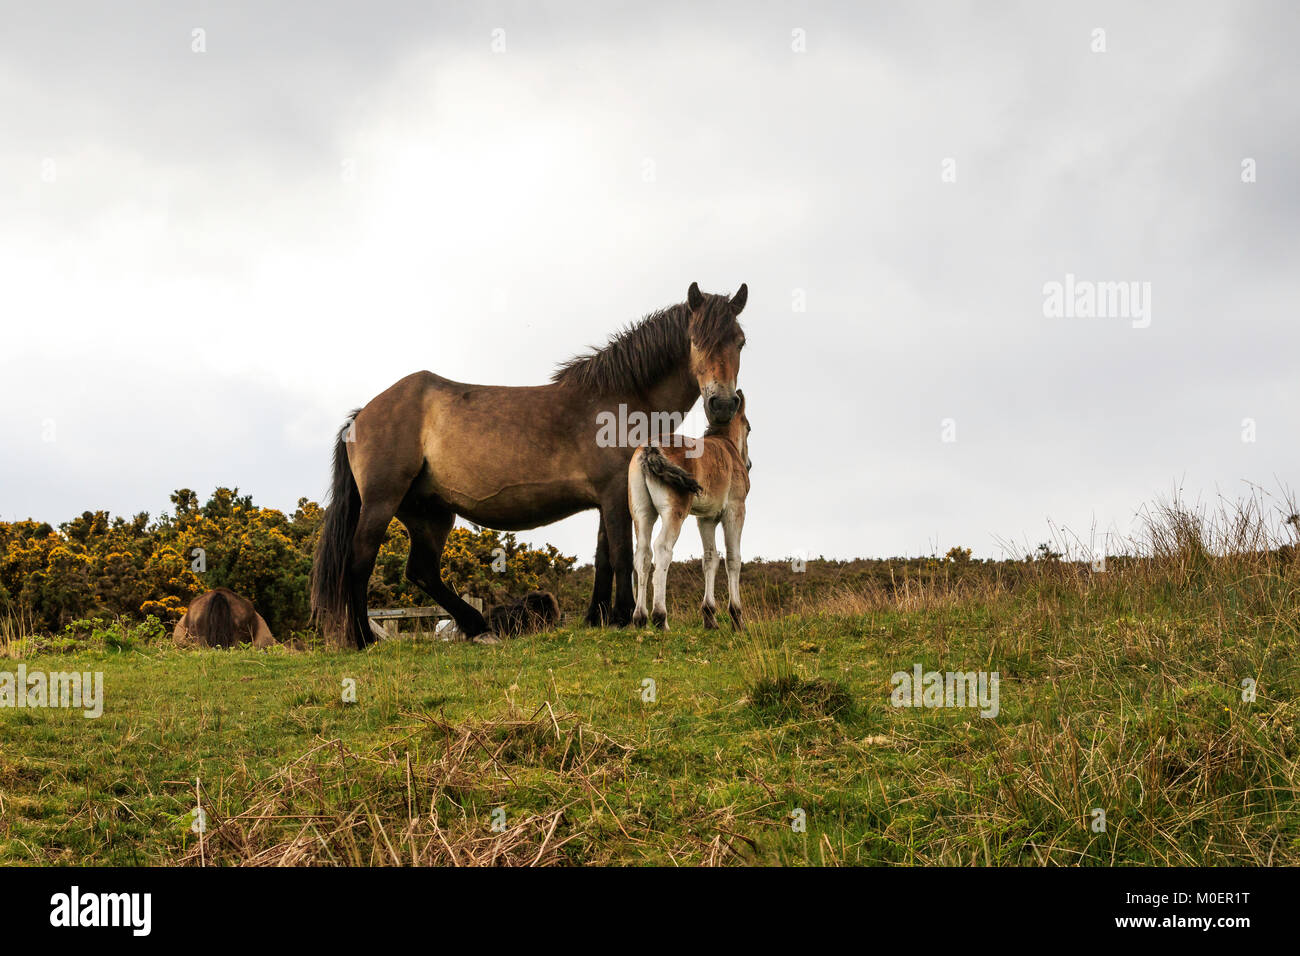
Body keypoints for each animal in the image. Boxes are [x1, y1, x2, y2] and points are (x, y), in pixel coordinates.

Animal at [629, 392, 754, 632]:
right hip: (673, 513)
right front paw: (737, 618)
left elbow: (710, 559)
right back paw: (661, 618)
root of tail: (650, 449)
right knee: (662, 549)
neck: (727, 447)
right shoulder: (735, 510)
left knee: (642, 554)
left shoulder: (706, 519)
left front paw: (710, 617)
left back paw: (640, 618)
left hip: (642, 513)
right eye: (749, 427)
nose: (749, 464)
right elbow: (733, 558)